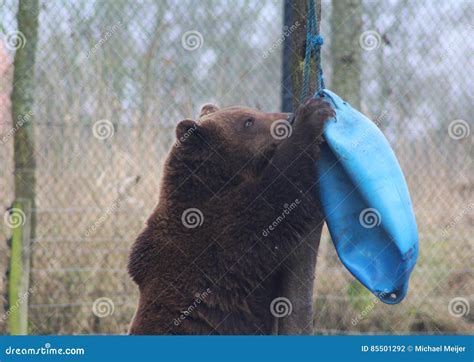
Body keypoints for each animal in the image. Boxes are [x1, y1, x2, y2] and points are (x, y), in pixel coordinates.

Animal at [128, 98, 336, 334]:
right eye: (248, 121)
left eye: (253, 112)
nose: (289, 118)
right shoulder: (216, 231)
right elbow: (276, 199)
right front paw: (314, 114)